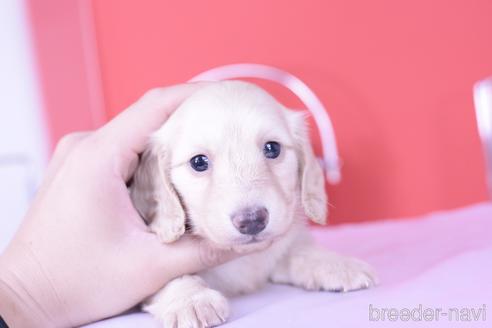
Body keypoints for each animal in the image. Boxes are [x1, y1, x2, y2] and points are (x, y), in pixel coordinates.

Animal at [130, 80, 376, 326]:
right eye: (198, 162)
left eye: (272, 148)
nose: (252, 221)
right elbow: (165, 276)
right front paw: (191, 299)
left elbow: (298, 249)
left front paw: (337, 264)